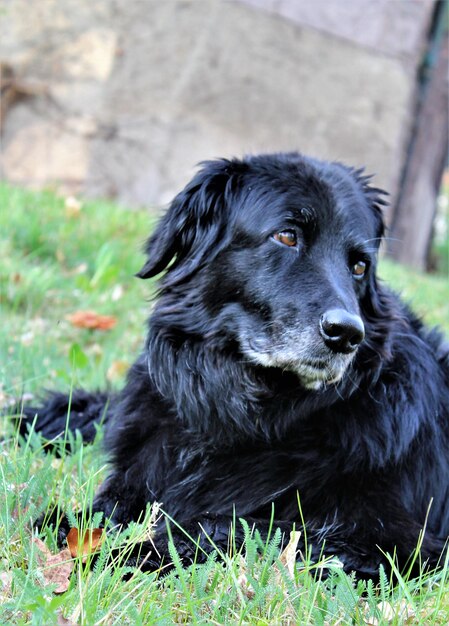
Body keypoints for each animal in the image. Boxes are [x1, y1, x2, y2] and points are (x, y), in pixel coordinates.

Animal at [21, 154, 448, 576]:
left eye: (359, 267)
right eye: (287, 236)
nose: (347, 334)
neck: (244, 413)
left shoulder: (395, 543)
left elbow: (224, 524)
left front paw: (122, 553)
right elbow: (104, 508)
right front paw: (73, 529)